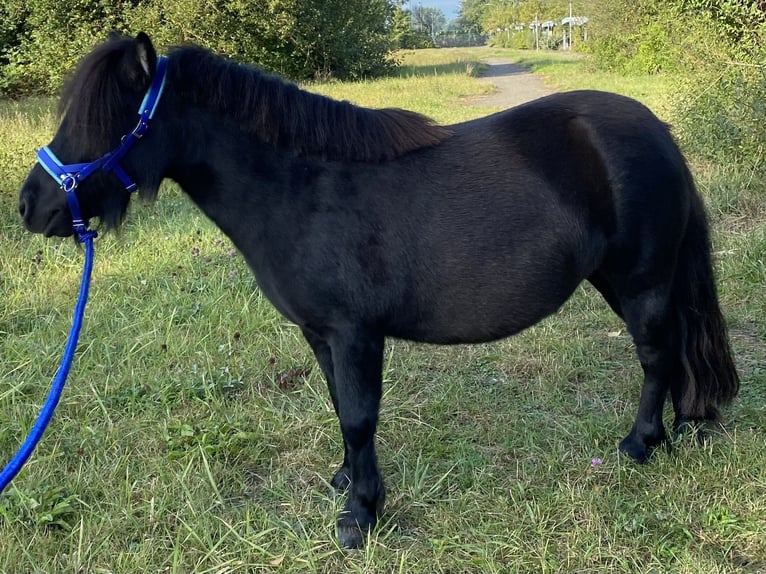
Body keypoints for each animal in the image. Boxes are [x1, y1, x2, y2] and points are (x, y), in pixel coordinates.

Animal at [16, 33, 736, 552]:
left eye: (104, 123)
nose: (31, 206)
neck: (301, 188)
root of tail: (656, 129)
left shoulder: (354, 334)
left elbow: (360, 416)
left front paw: (360, 515)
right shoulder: (321, 336)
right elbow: (342, 408)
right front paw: (347, 482)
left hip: (641, 280)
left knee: (656, 356)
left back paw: (642, 443)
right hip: (620, 281)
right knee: (673, 350)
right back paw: (682, 425)